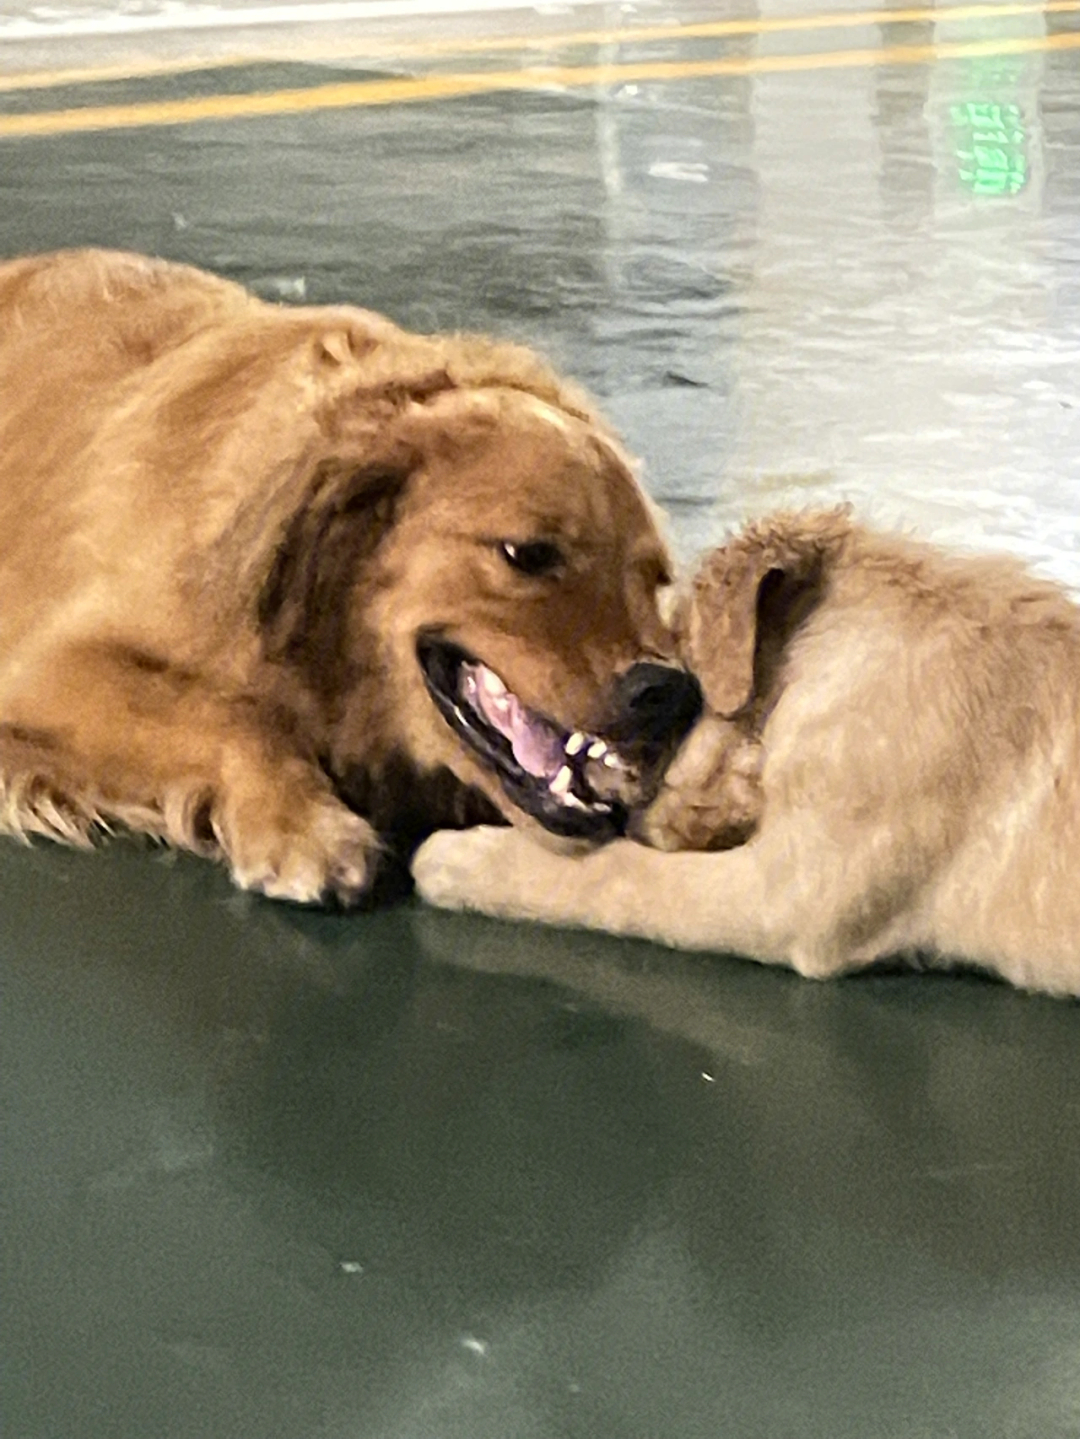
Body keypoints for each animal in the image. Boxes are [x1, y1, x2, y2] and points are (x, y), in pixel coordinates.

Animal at [0, 248, 701, 897]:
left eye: (654, 581)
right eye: (528, 554)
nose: (673, 695)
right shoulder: (45, 670)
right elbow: (229, 713)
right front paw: (306, 828)